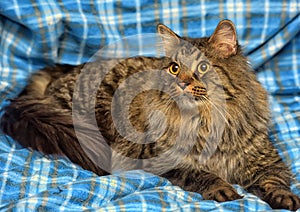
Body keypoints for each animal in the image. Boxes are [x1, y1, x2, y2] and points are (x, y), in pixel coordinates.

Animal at [0, 20, 300, 210]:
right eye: (175, 68)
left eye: (203, 67)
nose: (181, 83)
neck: (204, 121)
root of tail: (64, 71)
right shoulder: (161, 158)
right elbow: (201, 174)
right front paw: (221, 188)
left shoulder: (267, 161)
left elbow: (276, 182)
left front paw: (284, 198)